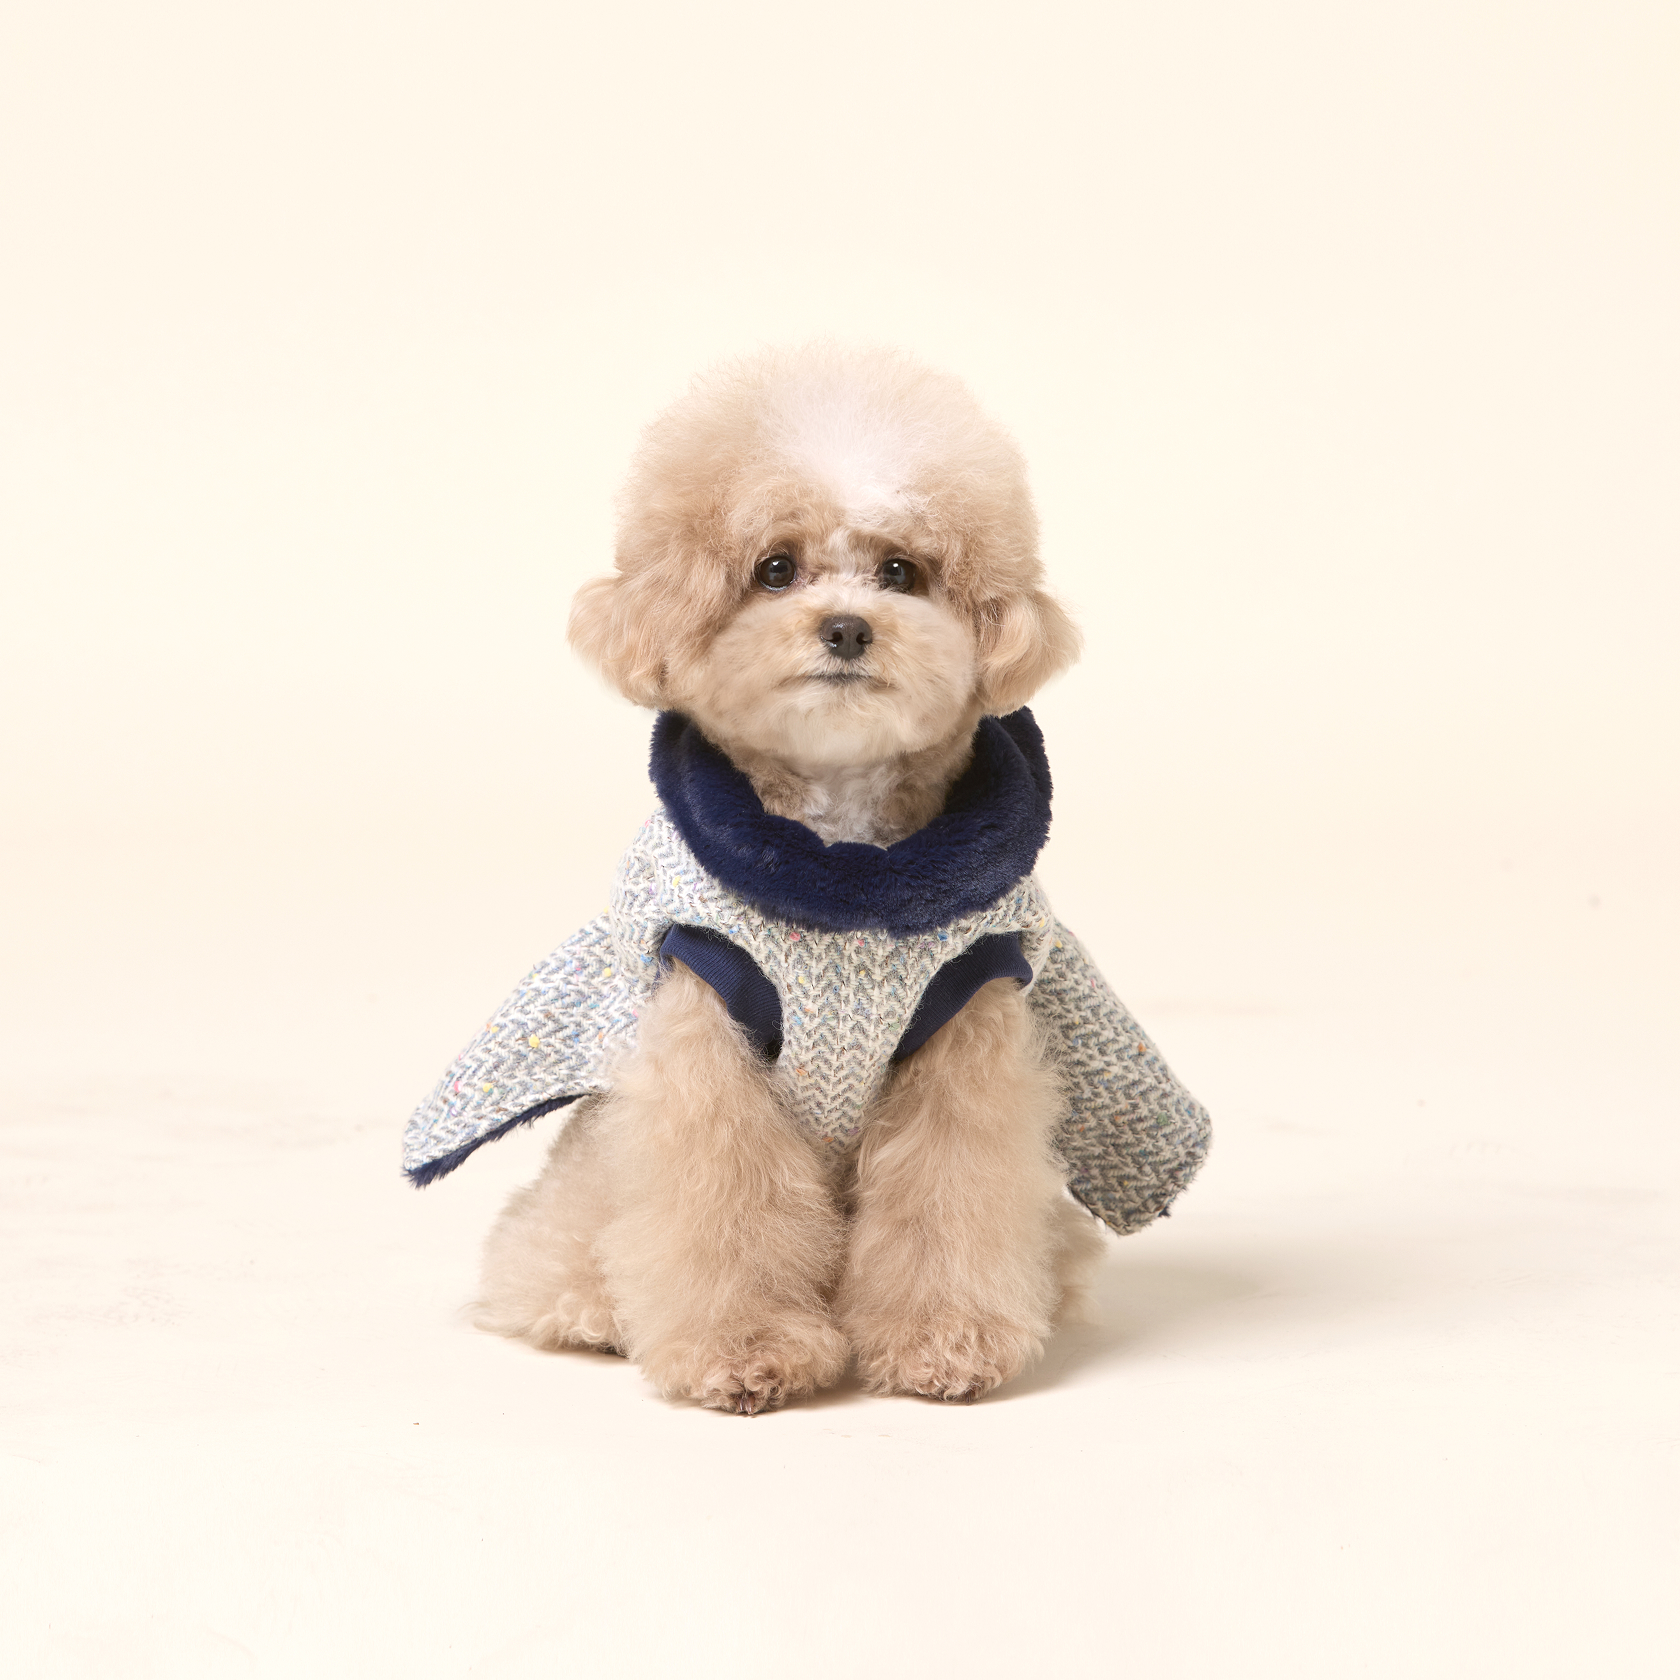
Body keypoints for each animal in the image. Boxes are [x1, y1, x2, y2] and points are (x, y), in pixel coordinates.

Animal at [462, 346, 1121, 1410]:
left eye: (901, 571)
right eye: (775, 569)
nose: (848, 628)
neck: (843, 864)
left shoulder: (966, 1039)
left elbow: (948, 1193)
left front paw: (947, 1342)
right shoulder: (705, 1041)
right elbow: (723, 1205)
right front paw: (743, 1351)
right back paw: (588, 1308)